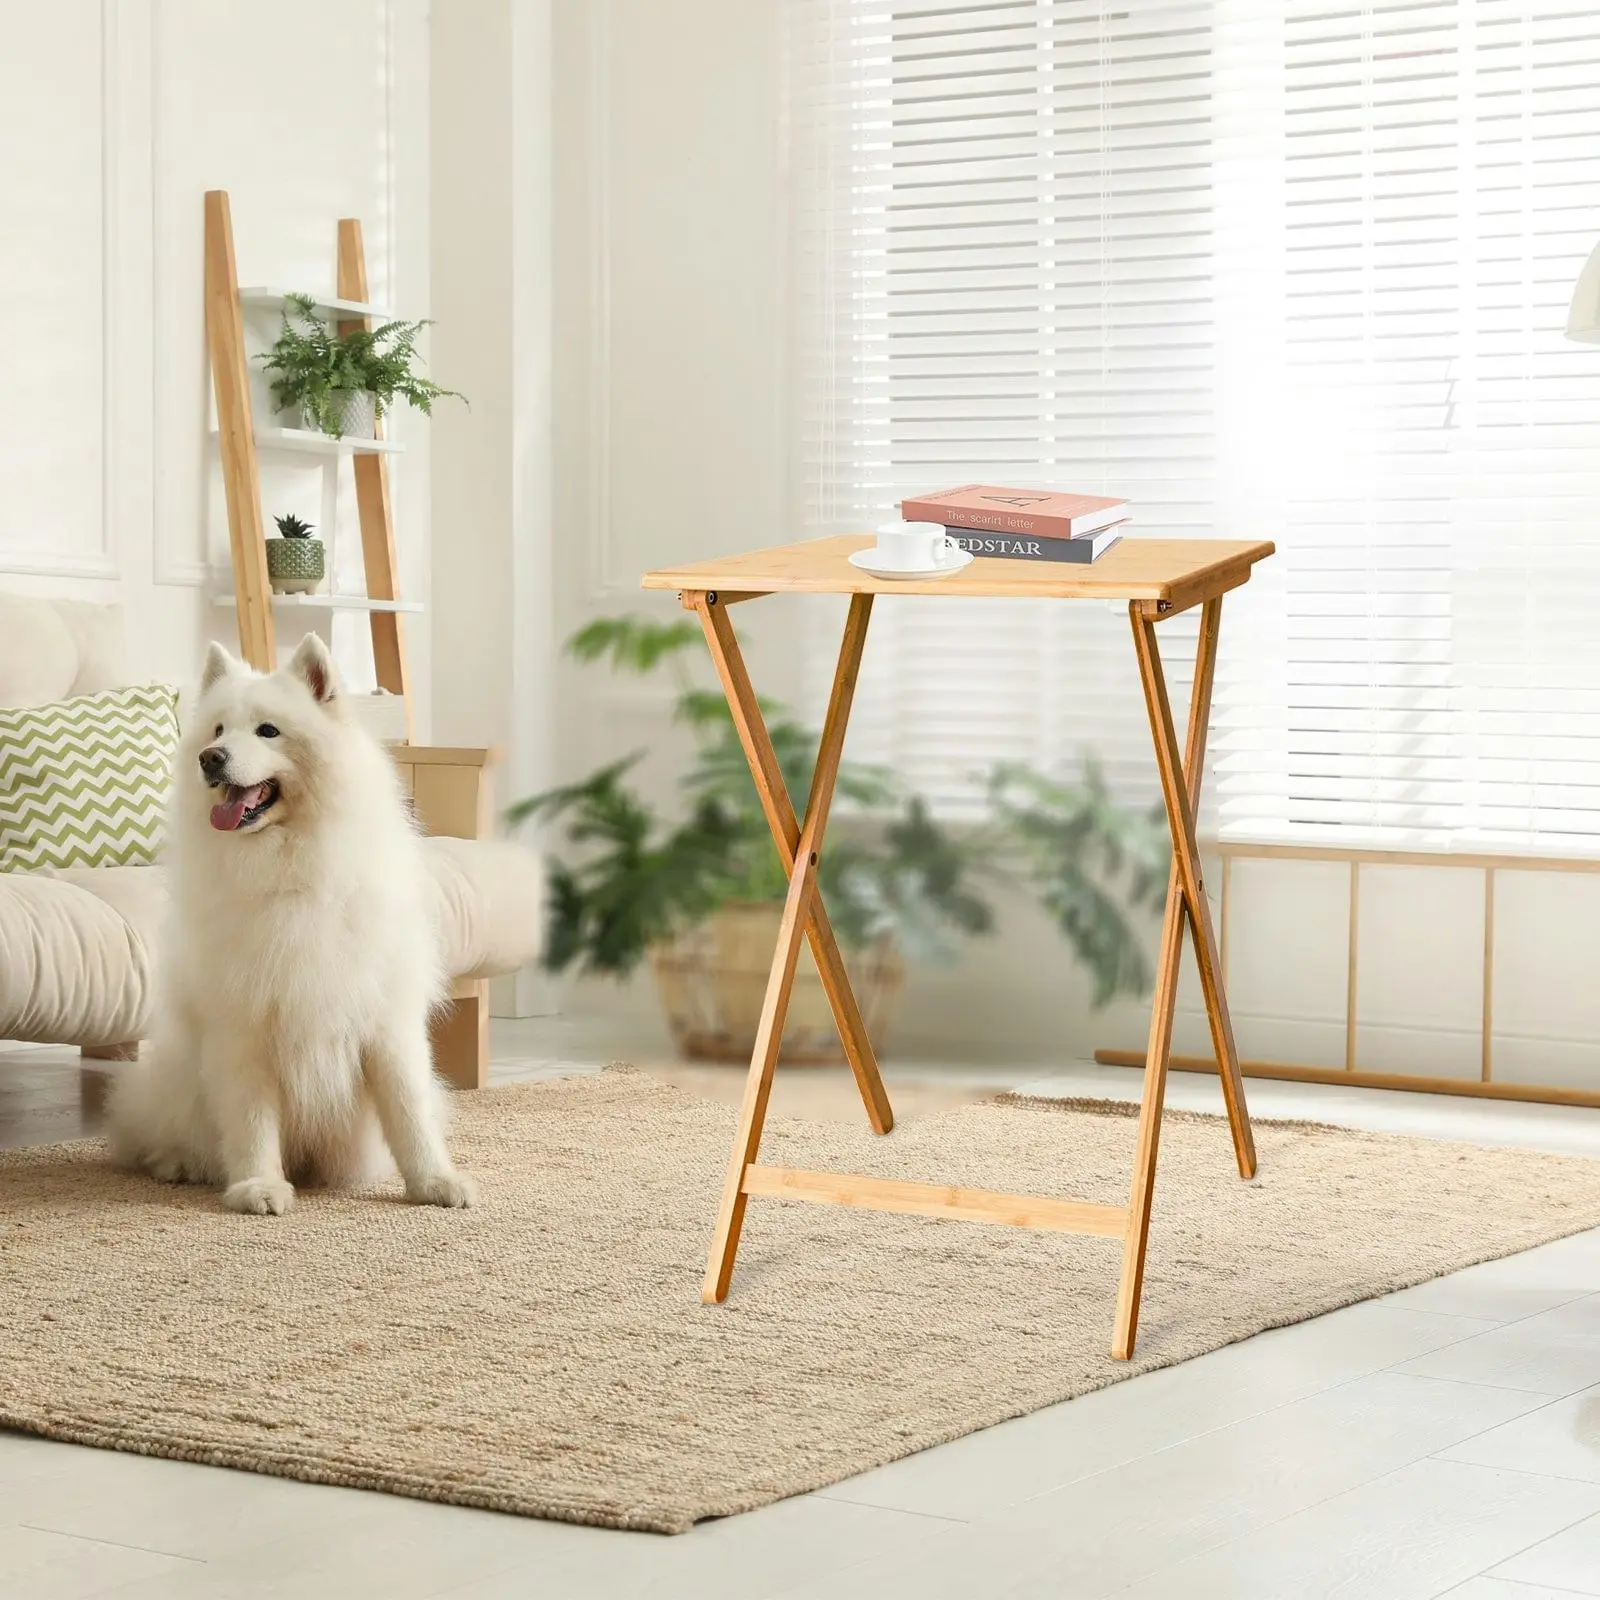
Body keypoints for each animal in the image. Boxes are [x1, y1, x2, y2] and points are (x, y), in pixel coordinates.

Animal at [108, 633, 473, 1209]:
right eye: (218, 731)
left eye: (267, 730)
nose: (210, 758)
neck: (290, 870)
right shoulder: (243, 1023)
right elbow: (252, 1119)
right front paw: (258, 1186)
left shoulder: (386, 1019)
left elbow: (409, 1110)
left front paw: (434, 1182)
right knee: (154, 1134)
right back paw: (176, 1164)